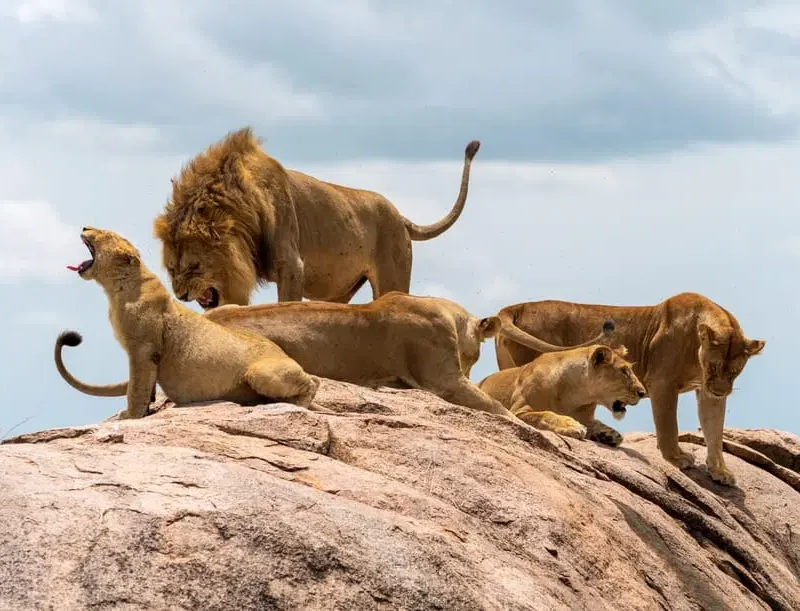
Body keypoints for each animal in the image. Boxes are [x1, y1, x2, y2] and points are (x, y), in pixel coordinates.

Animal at [55, 227, 320, 419]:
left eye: (104, 233)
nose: (85, 227)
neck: (116, 289)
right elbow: (146, 387)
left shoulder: (142, 349)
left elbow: (137, 387)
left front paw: (130, 416)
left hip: (261, 372)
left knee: (313, 382)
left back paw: (291, 403)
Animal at [153, 127, 481, 309]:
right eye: (172, 268)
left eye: (195, 266)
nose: (181, 296)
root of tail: (401, 217)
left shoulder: (292, 264)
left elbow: (286, 305)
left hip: (393, 276)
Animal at [478, 344, 647, 445]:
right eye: (624, 371)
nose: (643, 393)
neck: (576, 395)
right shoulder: (517, 411)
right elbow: (546, 414)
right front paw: (572, 425)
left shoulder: (586, 417)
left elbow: (596, 423)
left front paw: (609, 434)